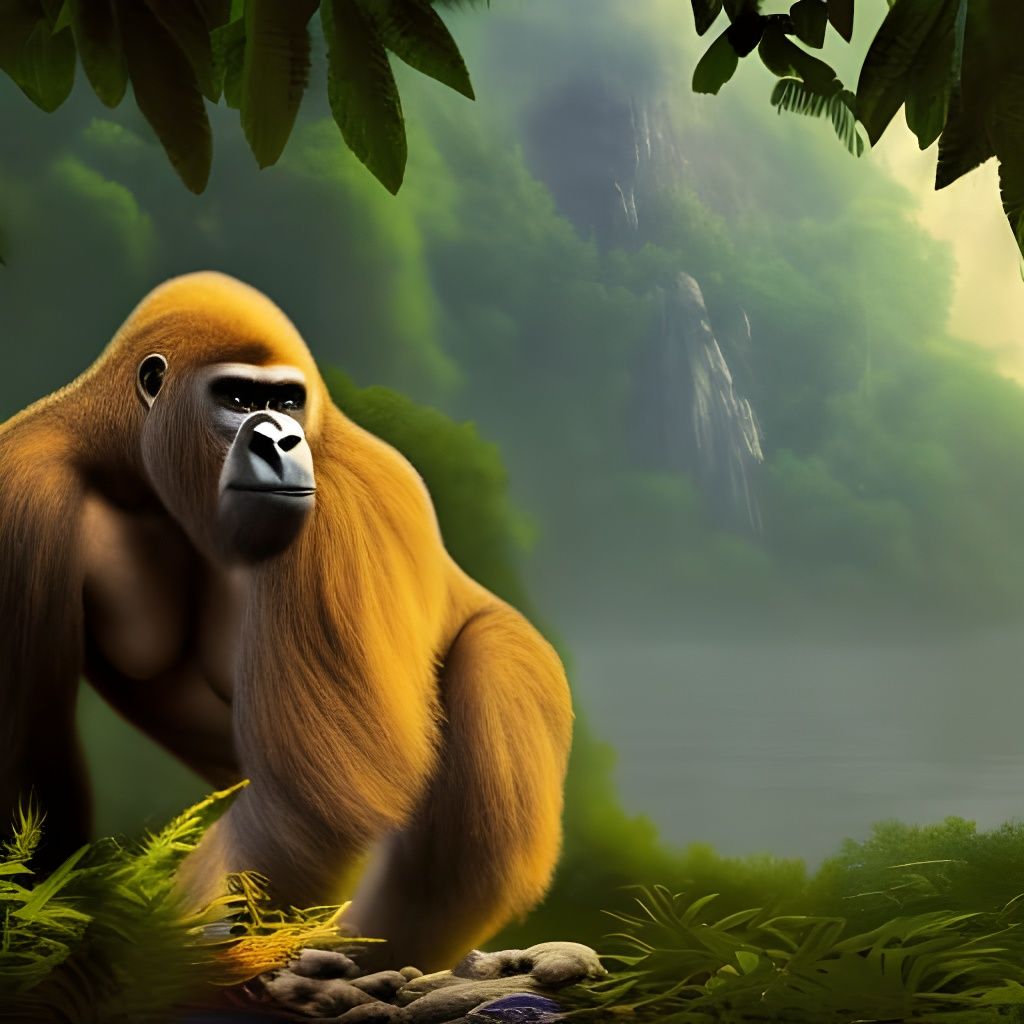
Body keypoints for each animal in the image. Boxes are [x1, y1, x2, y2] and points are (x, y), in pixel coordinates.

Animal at [0, 271, 573, 972]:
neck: (135, 466)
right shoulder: (21, 479)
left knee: (490, 667)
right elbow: (29, 754)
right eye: (238, 398)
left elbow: (312, 805)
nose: (279, 442)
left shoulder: (341, 505)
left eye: (287, 401)